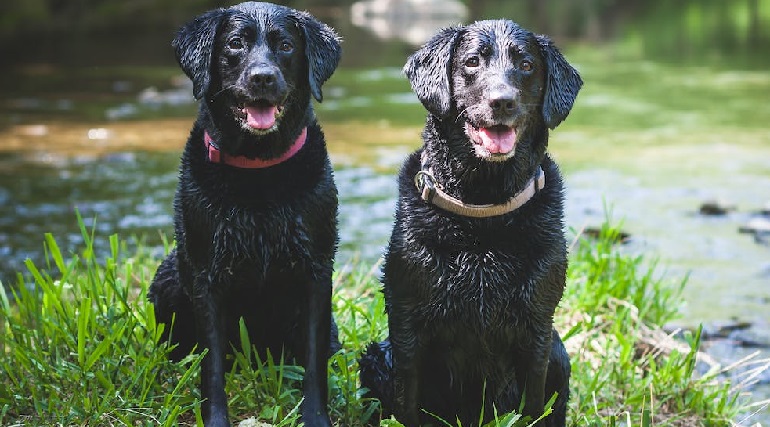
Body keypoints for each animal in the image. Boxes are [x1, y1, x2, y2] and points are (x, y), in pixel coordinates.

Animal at [148, 2, 340, 424]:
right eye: (235, 43)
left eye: (286, 45)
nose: (262, 77)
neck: (259, 170)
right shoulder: (205, 277)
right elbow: (212, 366)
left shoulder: (317, 273)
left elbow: (314, 363)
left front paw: (316, 417)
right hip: (169, 277)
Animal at [360, 18, 584, 426]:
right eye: (471, 62)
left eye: (526, 65)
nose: (502, 101)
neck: (482, 213)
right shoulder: (407, 328)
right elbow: (407, 404)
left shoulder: (537, 330)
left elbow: (532, 405)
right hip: (377, 357)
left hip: (559, 354)